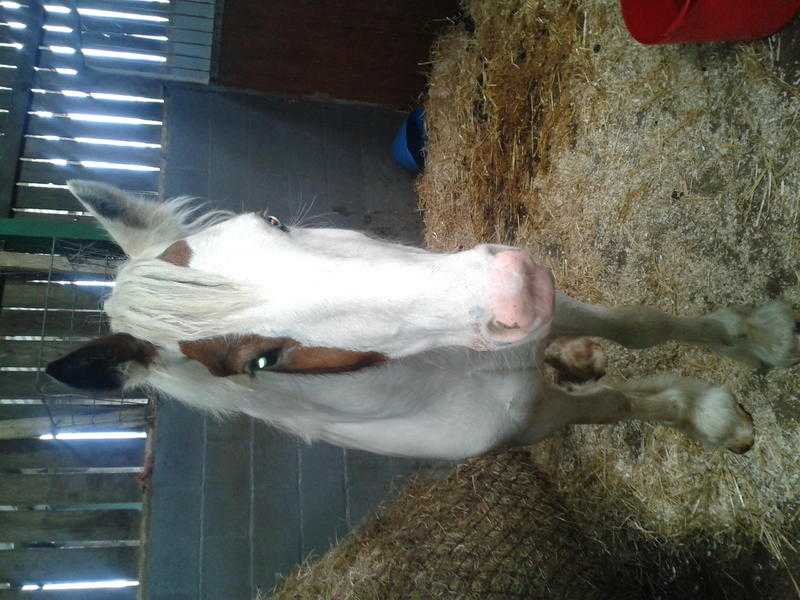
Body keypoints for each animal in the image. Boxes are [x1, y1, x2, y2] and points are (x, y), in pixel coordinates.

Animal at [47, 180, 796, 458]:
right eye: (262, 360)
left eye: (275, 220)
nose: (514, 289)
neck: (449, 369)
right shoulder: (536, 421)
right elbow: (618, 405)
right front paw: (712, 416)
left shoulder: (551, 314)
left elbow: (643, 324)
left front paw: (764, 336)